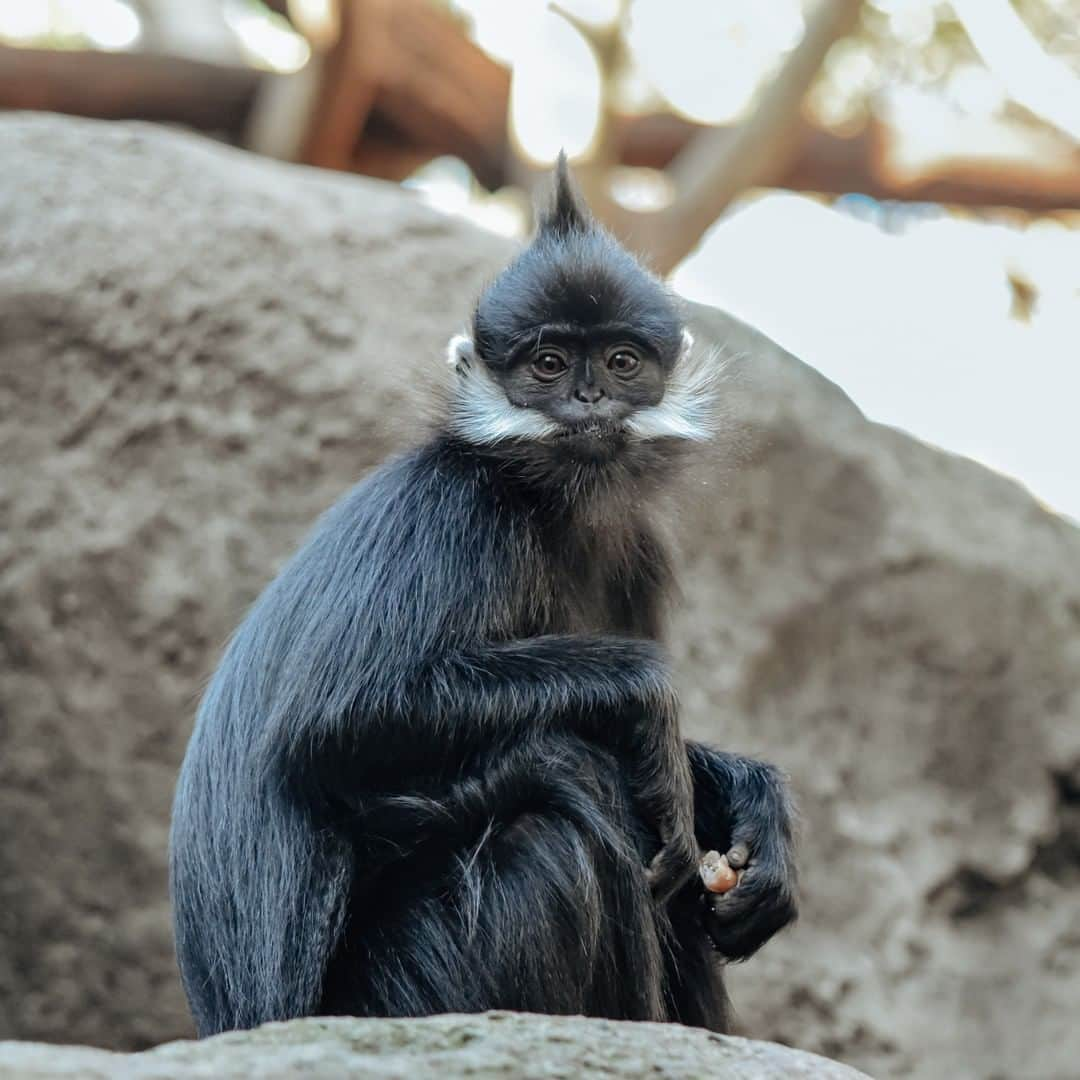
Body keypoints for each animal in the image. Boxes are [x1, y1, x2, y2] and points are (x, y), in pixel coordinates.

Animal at [166, 157, 794, 1036]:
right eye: (548, 365)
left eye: (622, 362)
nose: (589, 401)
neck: (549, 506)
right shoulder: (454, 510)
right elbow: (331, 723)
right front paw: (647, 698)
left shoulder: (637, 551)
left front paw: (750, 801)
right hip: (397, 994)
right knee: (562, 801)